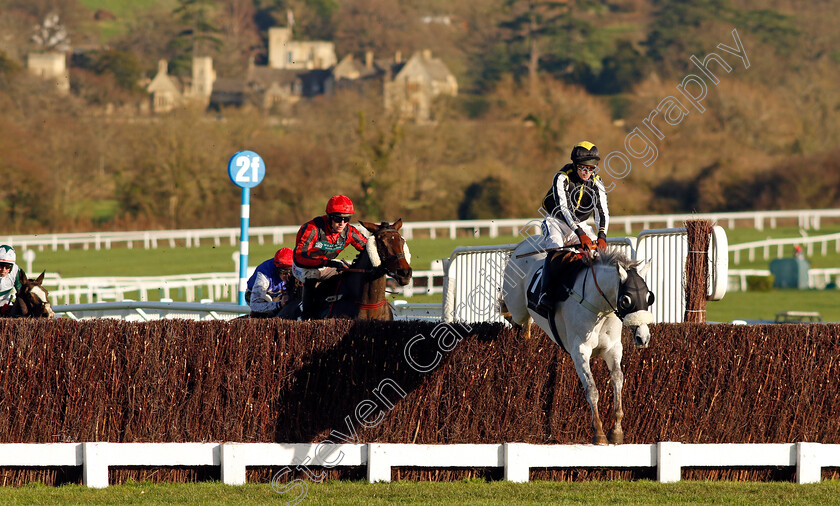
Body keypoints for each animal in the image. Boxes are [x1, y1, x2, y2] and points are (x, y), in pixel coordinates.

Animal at [498, 236, 656, 442]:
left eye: (649, 297)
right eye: (626, 300)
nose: (643, 337)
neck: (599, 307)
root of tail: (523, 244)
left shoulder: (612, 349)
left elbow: (618, 380)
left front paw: (617, 430)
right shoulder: (580, 350)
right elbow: (592, 388)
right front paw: (599, 432)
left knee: (524, 325)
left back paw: (527, 334)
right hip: (517, 307)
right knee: (512, 315)